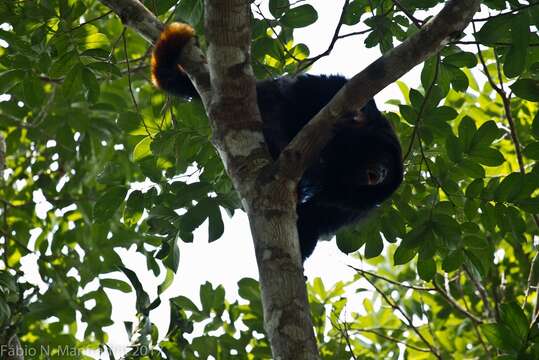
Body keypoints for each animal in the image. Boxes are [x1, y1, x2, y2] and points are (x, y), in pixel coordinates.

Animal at [150, 23, 402, 262]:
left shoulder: (353, 205)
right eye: (386, 162)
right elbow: (324, 93)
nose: (381, 172)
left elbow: (316, 216)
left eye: (386, 174)